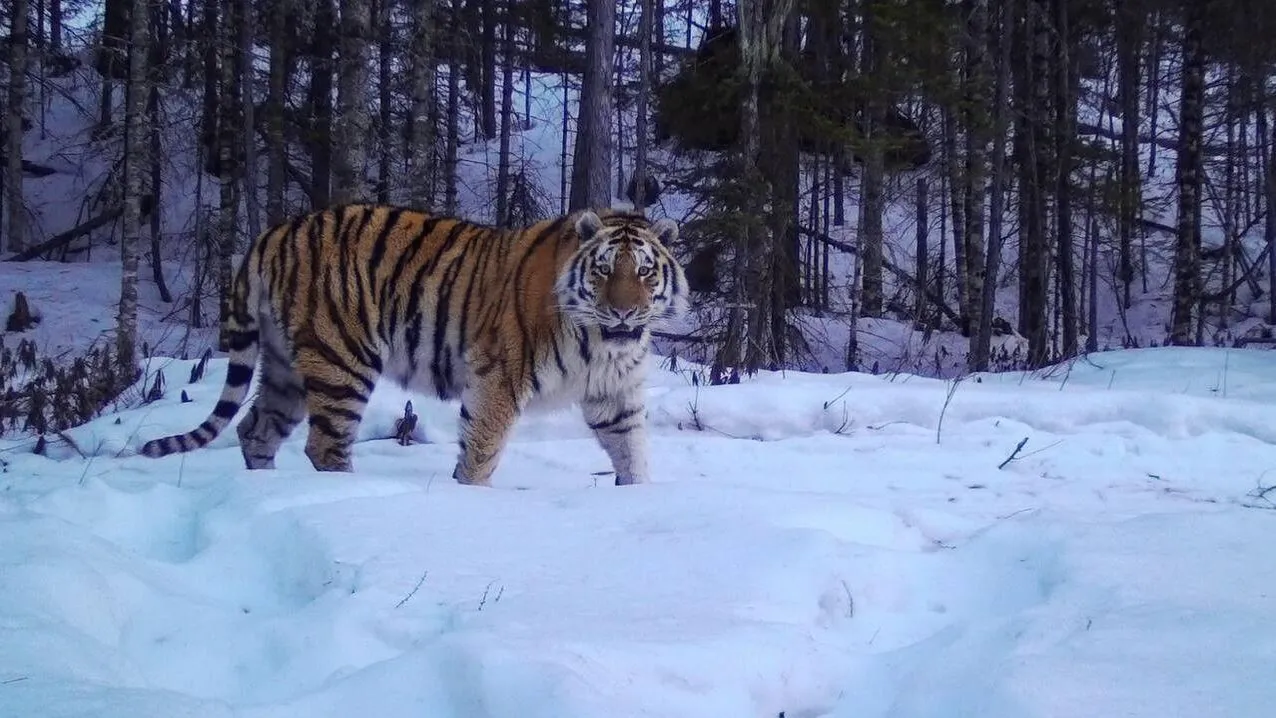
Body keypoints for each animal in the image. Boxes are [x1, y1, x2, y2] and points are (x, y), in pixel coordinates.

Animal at [139, 204, 689, 487]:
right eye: (603, 270)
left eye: (644, 271)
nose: (624, 312)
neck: (600, 343)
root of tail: (273, 232)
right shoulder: (498, 379)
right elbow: (481, 452)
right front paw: (470, 495)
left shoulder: (614, 395)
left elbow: (632, 452)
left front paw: (636, 496)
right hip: (342, 360)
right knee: (324, 444)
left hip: (286, 368)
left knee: (255, 429)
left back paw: (263, 490)